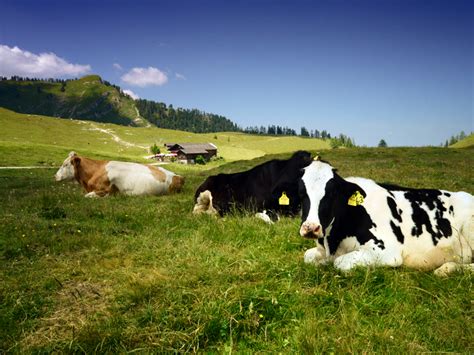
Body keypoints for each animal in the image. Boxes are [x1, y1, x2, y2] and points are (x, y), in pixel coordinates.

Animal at [300, 157, 474, 276]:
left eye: (332, 193)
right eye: (301, 192)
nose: (311, 227)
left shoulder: (386, 251)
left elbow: (339, 262)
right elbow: (307, 256)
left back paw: (447, 268)